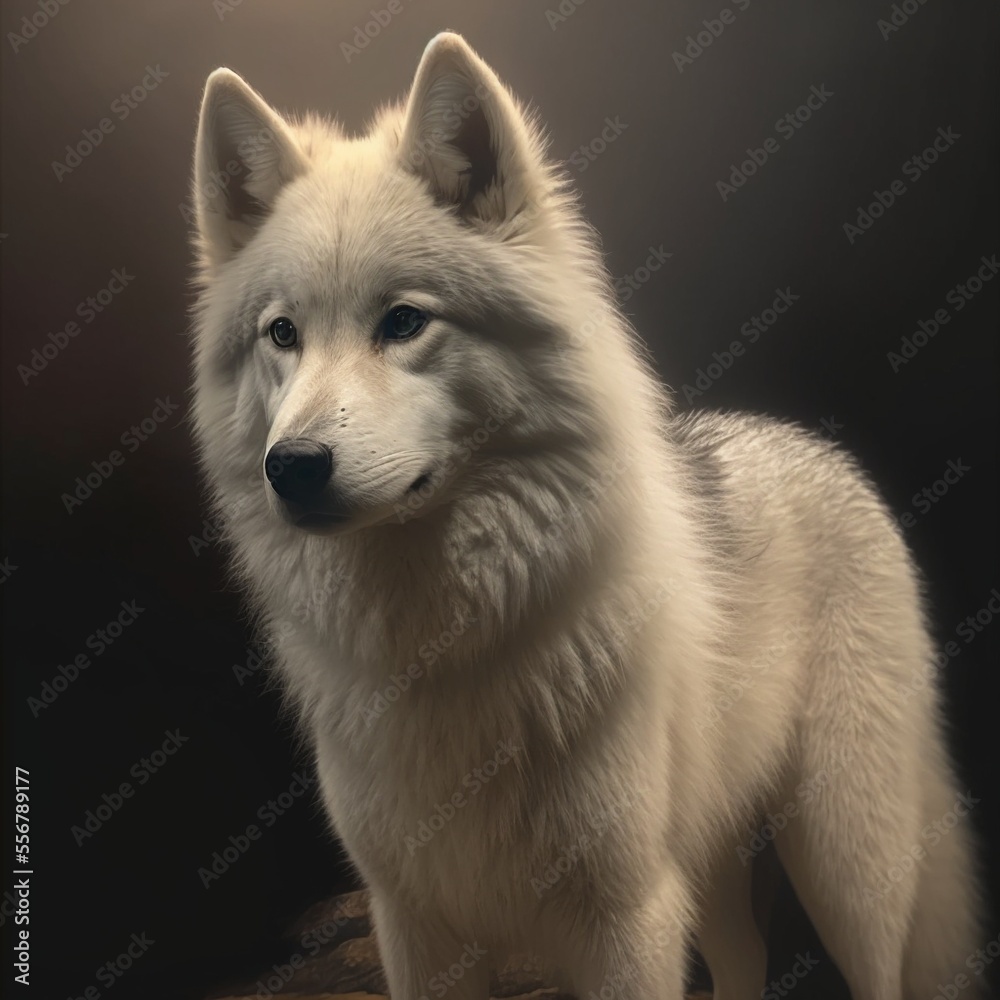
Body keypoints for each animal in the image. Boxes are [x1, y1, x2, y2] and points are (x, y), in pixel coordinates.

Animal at [189, 31, 981, 999]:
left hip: (842, 863)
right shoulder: (413, 926)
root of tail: (811, 445)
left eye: (404, 322)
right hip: (716, 872)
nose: (292, 468)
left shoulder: (625, 921)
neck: (441, 645)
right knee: (748, 960)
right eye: (282, 335)